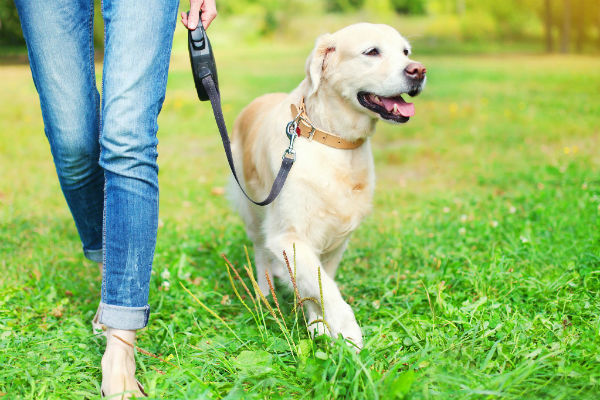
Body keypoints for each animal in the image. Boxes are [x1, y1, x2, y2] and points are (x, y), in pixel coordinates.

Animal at [227, 23, 424, 346]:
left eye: (406, 51)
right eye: (372, 52)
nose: (418, 70)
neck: (332, 138)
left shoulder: (337, 239)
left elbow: (319, 284)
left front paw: (318, 323)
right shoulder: (288, 236)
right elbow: (326, 289)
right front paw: (348, 334)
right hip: (252, 210)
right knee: (259, 252)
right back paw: (265, 293)